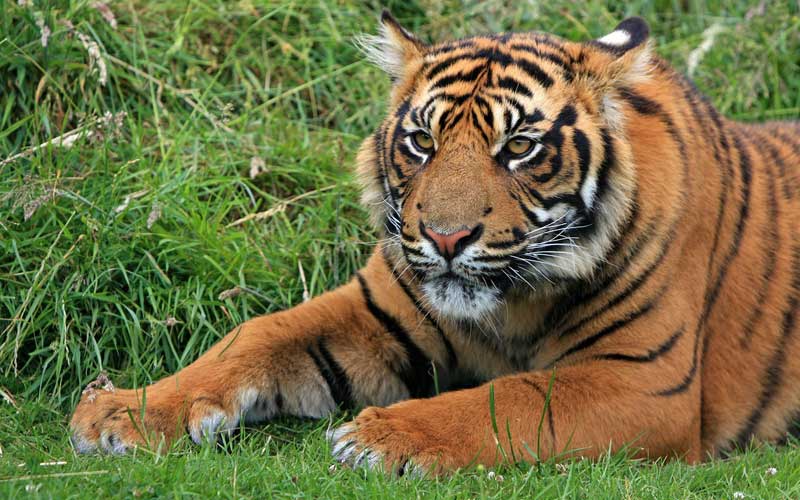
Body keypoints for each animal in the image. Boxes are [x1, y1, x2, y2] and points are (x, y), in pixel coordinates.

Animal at [69, 12, 800, 475]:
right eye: (422, 141)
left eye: (519, 147)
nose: (446, 238)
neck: (511, 306)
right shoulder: (373, 309)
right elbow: (253, 335)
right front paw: (121, 412)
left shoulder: (643, 380)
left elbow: (513, 397)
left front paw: (382, 436)